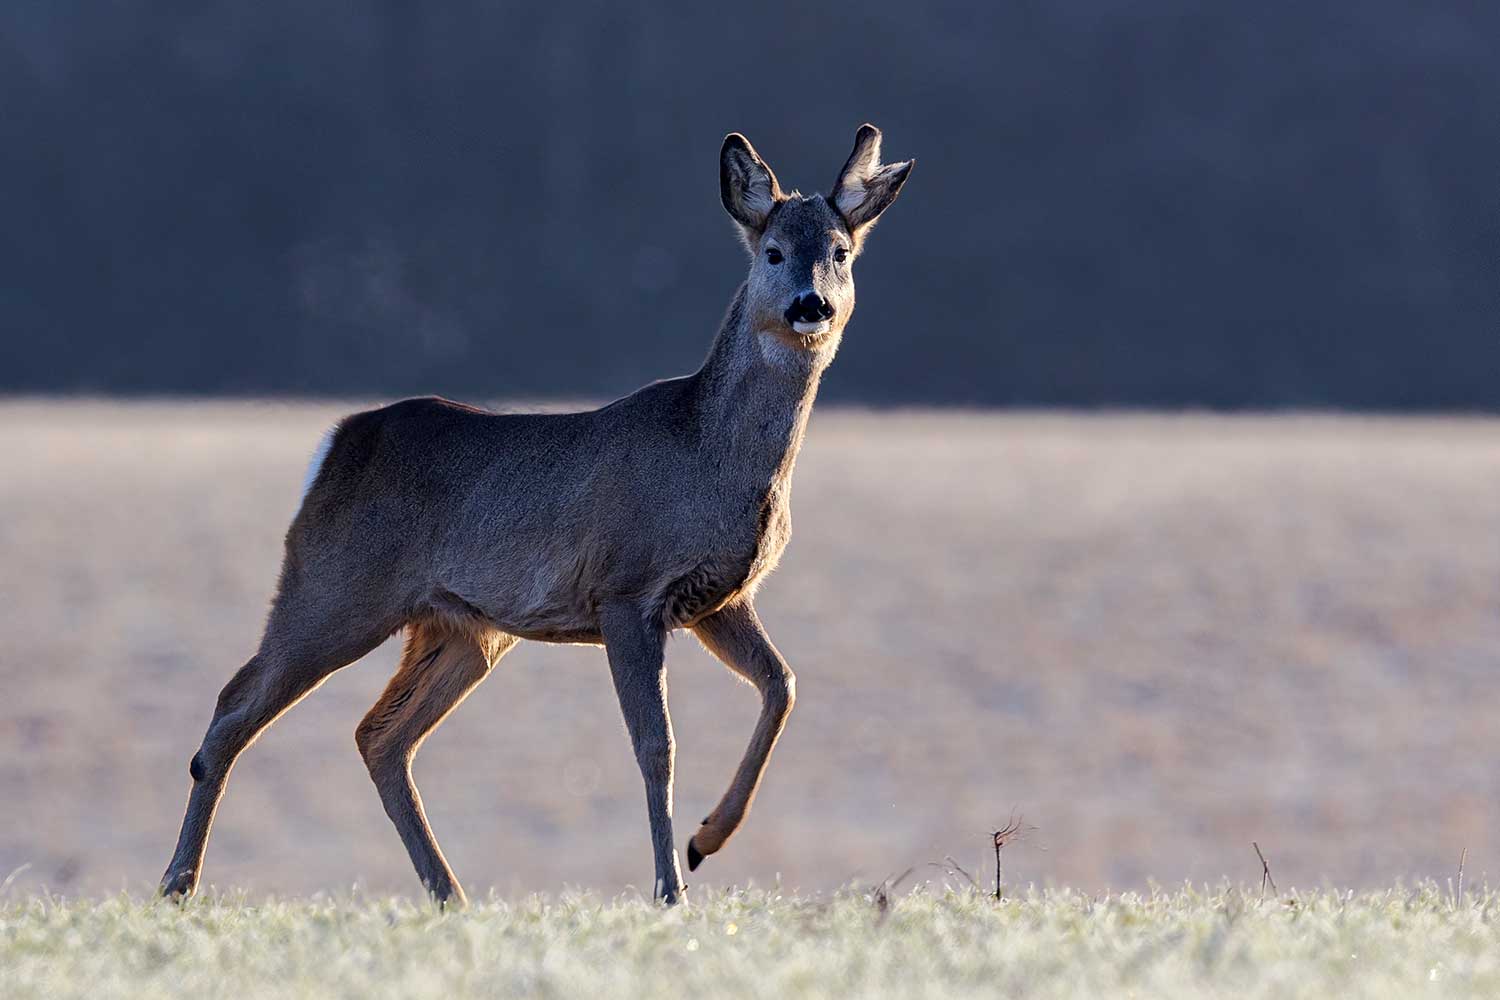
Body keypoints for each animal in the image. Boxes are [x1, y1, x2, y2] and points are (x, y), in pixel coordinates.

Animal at [164, 125, 912, 905]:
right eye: (772, 251)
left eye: (840, 251)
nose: (811, 305)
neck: (709, 454)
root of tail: (335, 444)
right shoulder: (626, 590)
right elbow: (657, 746)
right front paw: (671, 888)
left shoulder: (718, 597)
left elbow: (782, 685)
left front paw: (708, 840)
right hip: (336, 587)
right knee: (235, 707)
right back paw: (178, 885)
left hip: (462, 629)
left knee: (380, 735)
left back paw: (450, 895)